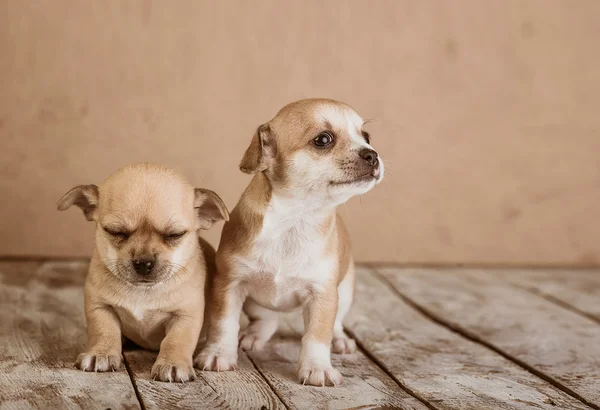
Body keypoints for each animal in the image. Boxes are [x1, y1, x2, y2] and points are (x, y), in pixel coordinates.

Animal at [57, 163, 229, 382]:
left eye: (174, 235)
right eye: (116, 232)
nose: (144, 263)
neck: (143, 290)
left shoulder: (185, 316)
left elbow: (176, 340)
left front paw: (172, 363)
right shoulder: (100, 307)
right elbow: (103, 330)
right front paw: (101, 353)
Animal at [197, 97, 384, 386]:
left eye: (366, 137)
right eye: (323, 139)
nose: (372, 154)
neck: (296, 219)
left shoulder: (323, 294)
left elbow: (317, 335)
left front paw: (317, 367)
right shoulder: (229, 285)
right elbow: (224, 323)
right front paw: (218, 353)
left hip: (343, 294)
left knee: (336, 324)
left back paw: (340, 340)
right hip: (254, 302)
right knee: (268, 320)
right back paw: (252, 335)